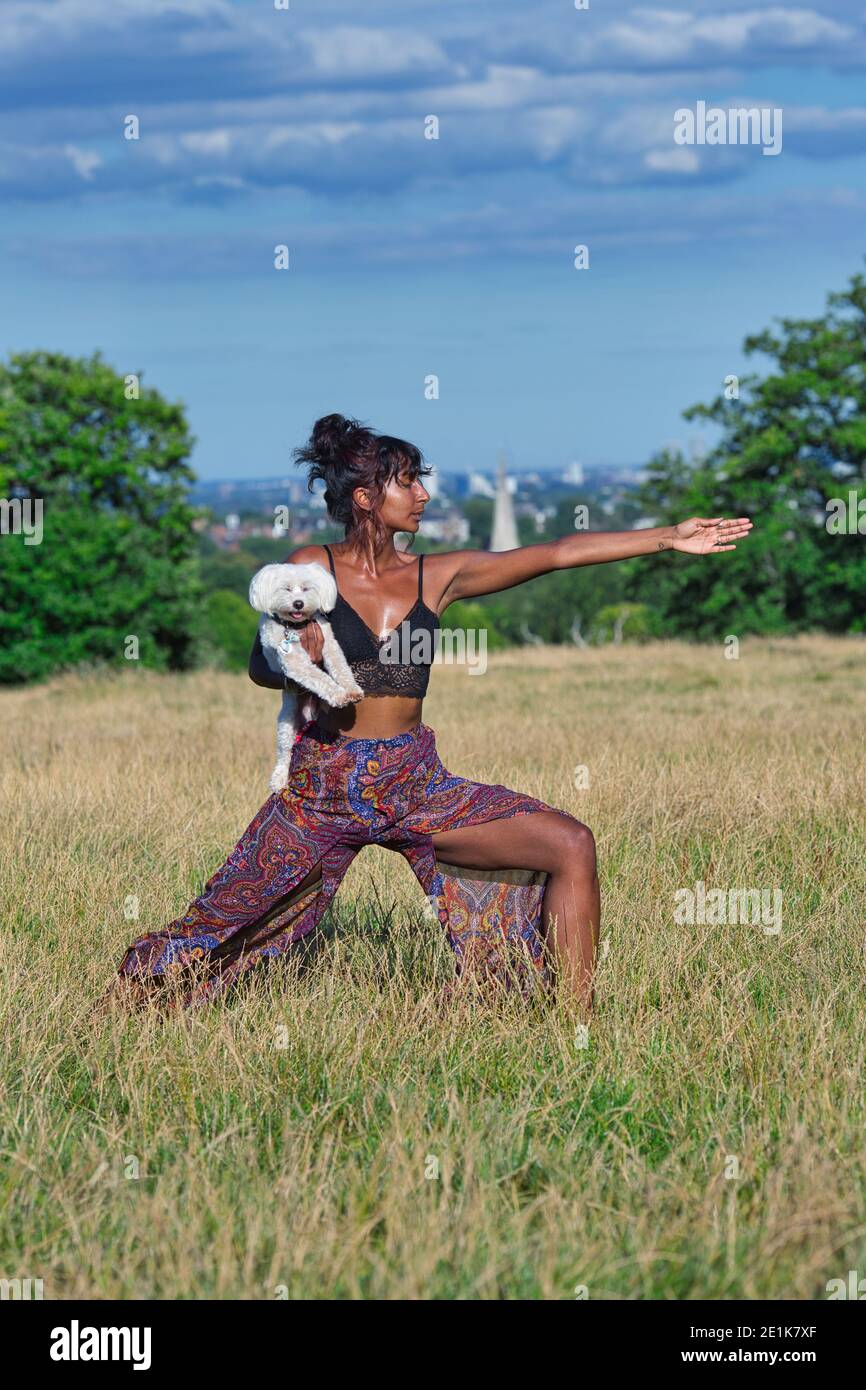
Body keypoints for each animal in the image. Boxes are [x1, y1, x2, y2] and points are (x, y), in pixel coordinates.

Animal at [248, 561, 364, 795]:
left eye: (306, 588)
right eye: (286, 588)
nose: (299, 603)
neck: (296, 627)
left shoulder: (329, 644)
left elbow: (340, 667)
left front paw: (351, 690)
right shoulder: (295, 661)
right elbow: (319, 677)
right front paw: (339, 695)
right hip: (286, 723)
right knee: (285, 752)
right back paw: (278, 779)